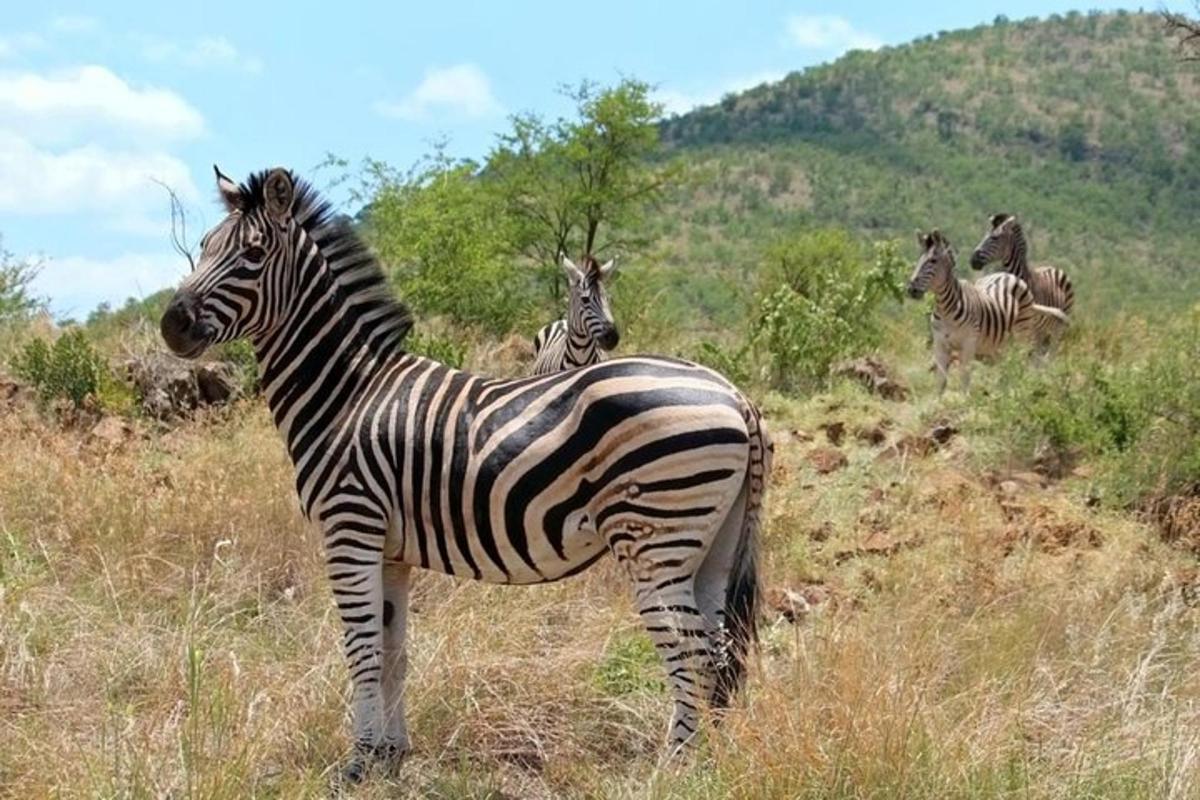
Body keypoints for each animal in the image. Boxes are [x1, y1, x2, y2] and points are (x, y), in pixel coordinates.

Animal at [159, 165, 772, 786]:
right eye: (205, 246)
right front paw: (389, 756)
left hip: (654, 538)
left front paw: (357, 764)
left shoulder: (350, 529)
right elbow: (394, 652)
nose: (171, 324)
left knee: (692, 653)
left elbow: (361, 651)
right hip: (712, 544)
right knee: (720, 648)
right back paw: (712, 760)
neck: (347, 394)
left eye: (253, 254)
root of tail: (734, 395)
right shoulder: (390, 550)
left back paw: (678, 766)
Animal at [907, 230, 1070, 395]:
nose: (911, 289)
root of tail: (1009, 276)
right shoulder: (940, 343)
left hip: (1023, 335)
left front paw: (965, 400)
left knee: (1022, 362)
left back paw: (1019, 390)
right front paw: (936, 400)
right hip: (1002, 343)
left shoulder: (969, 344)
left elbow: (964, 379)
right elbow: (940, 382)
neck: (946, 309)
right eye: (919, 259)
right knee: (1007, 367)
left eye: (933, 261)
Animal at [969, 214, 1075, 347]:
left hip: (1057, 327)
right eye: (985, 235)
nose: (973, 261)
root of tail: (1053, 267)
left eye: (994, 238)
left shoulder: (1030, 326)